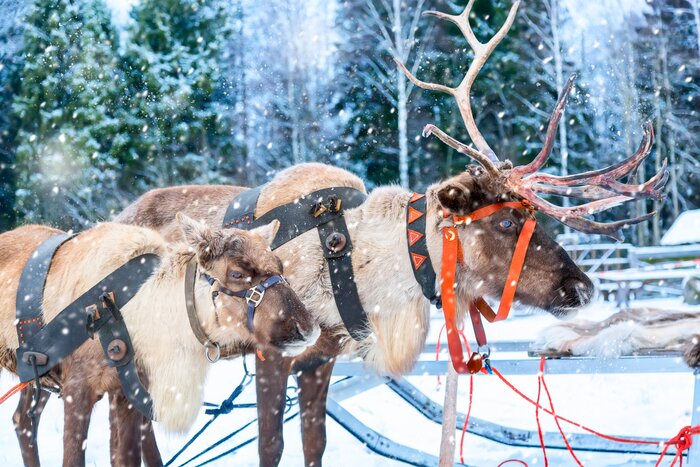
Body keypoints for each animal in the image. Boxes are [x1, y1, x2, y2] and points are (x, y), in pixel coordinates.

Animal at [1, 215, 319, 467]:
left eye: (279, 265)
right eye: (237, 273)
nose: (308, 329)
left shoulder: (125, 393)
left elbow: (127, 458)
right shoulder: (77, 386)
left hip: (35, 377)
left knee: (22, 419)